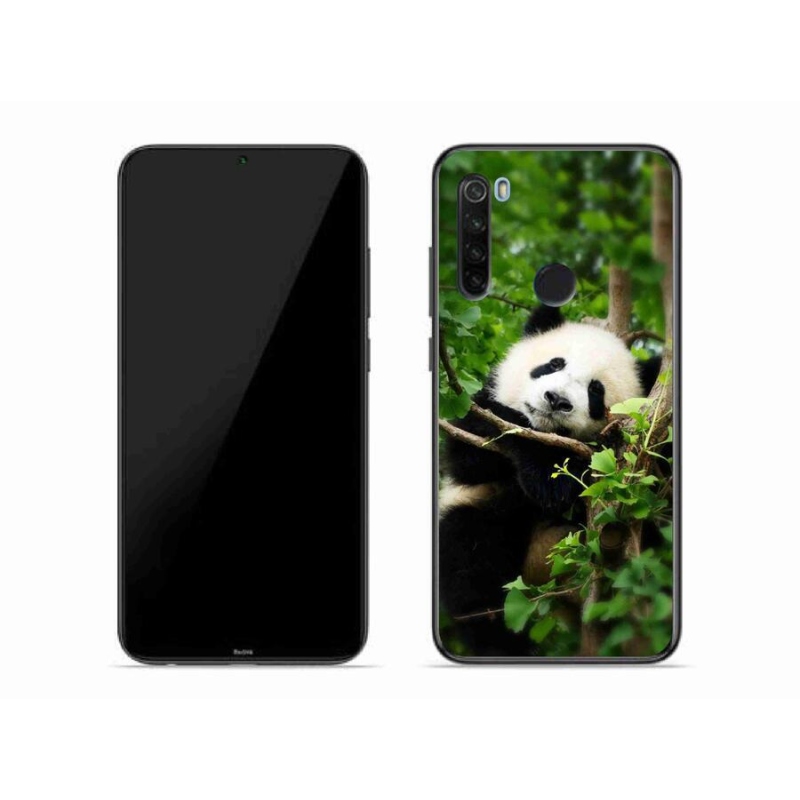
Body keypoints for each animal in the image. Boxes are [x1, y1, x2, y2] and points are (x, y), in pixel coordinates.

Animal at [438, 304, 661, 656]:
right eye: (554, 364)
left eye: (595, 390)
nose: (557, 400)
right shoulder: (474, 414)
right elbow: (471, 456)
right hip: (485, 519)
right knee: (472, 566)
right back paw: (501, 644)